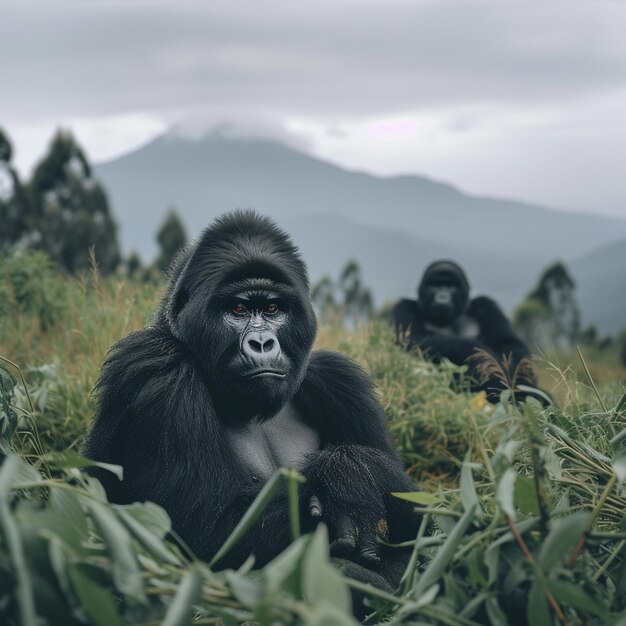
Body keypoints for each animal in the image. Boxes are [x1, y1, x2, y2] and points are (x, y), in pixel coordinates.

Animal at [81, 210, 414, 616]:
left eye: (272, 309)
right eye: (238, 309)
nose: (262, 343)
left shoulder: (341, 380)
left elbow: (416, 532)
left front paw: (357, 470)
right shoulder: (154, 368)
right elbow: (205, 534)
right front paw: (343, 478)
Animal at [392, 258, 548, 404]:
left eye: (451, 286)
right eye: (434, 285)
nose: (442, 296)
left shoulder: (486, 304)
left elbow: (508, 342)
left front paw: (519, 380)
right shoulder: (403, 306)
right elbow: (416, 342)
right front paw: (492, 370)